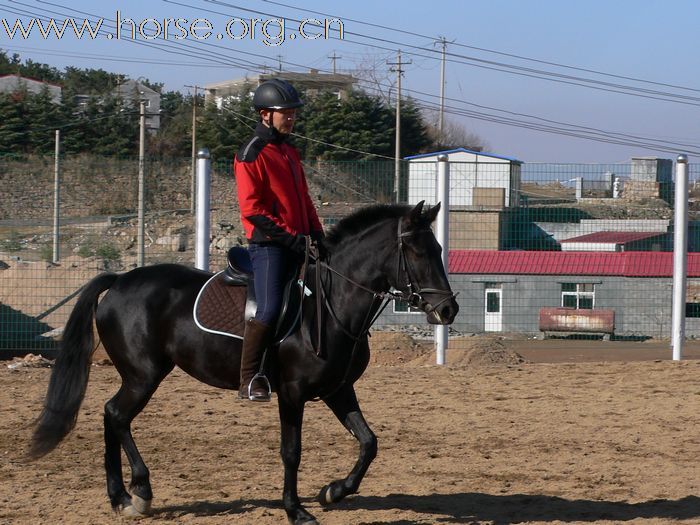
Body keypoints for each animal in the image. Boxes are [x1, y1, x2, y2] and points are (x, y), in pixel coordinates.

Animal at [28, 199, 460, 520]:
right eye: (418, 251)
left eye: (439, 249)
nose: (448, 310)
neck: (329, 302)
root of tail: (118, 280)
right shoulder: (292, 393)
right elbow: (292, 451)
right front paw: (295, 509)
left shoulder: (338, 390)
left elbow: (369, 442)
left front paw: (334, 491)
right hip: (143, 375)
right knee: (116, 415)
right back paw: (138, 492)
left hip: (142, 375)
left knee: (110, 415)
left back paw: (121, 496)